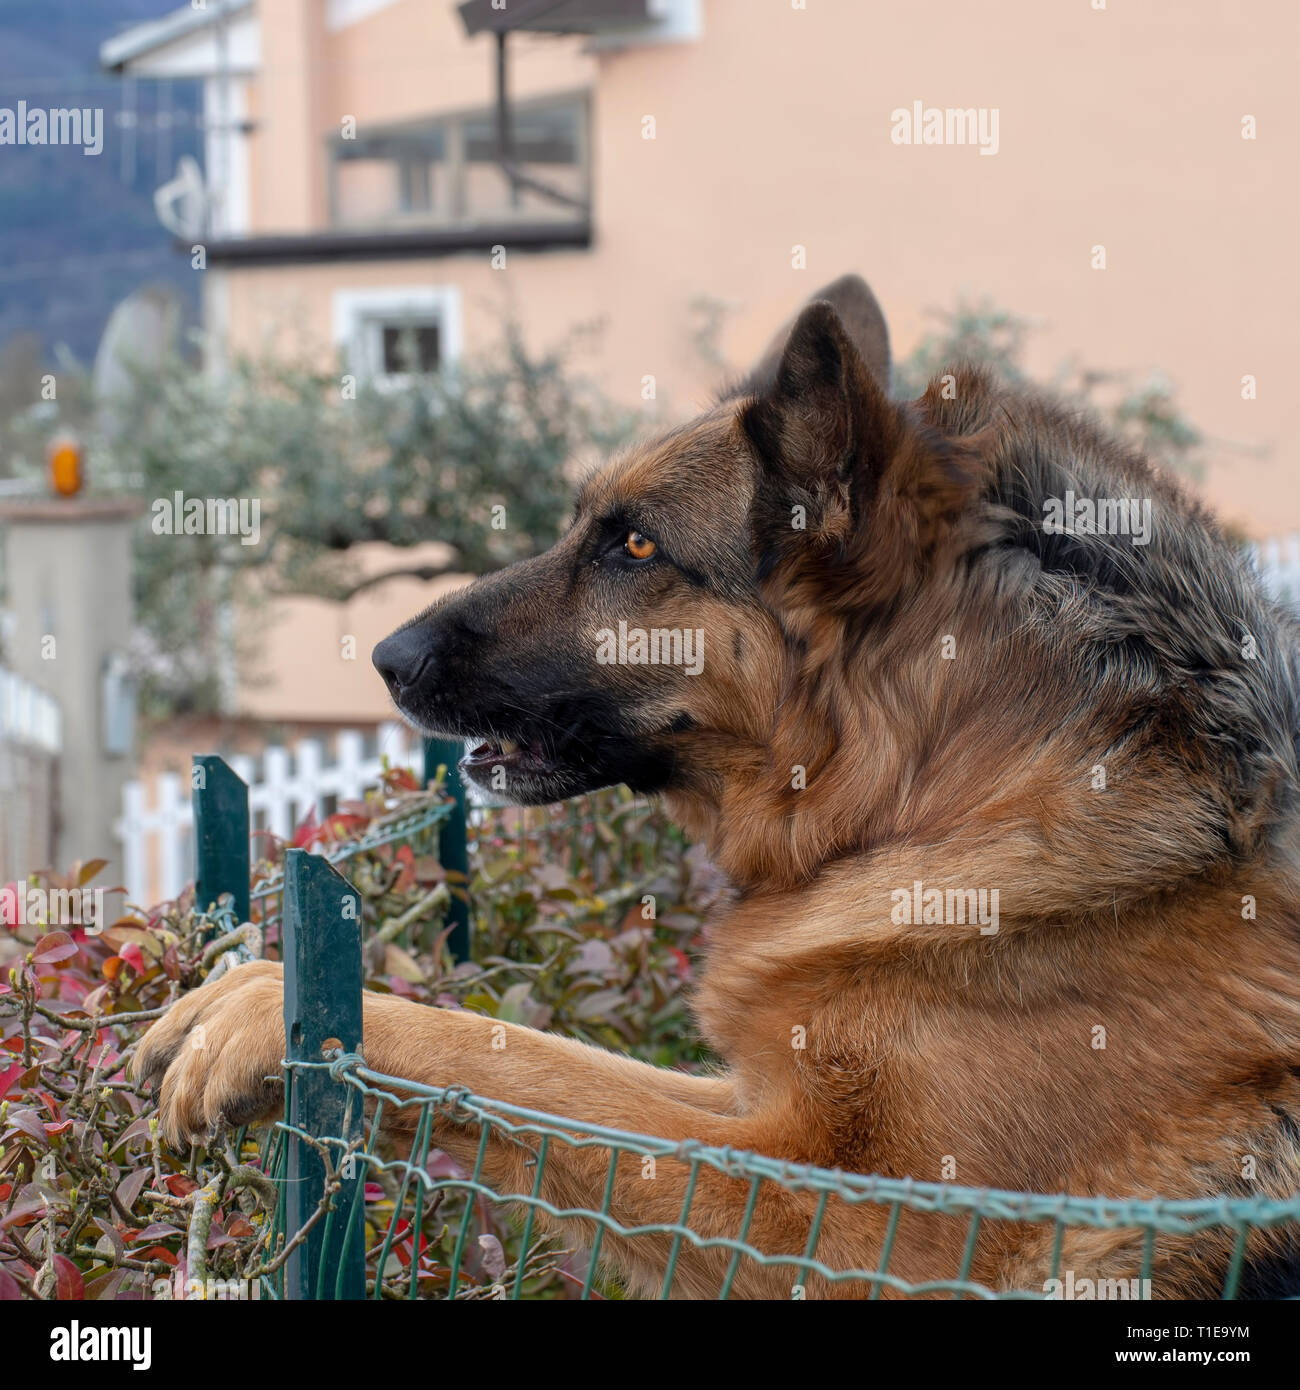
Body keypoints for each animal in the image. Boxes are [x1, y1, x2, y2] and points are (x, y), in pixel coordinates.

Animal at [136, 276, 1300, 1295]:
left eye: (635, 545)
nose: (386, 656)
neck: (964, 794)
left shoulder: (858, 1218)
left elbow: (531, 1071)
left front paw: (259, 1012)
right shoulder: (757, 1114)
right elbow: (564, 1071)